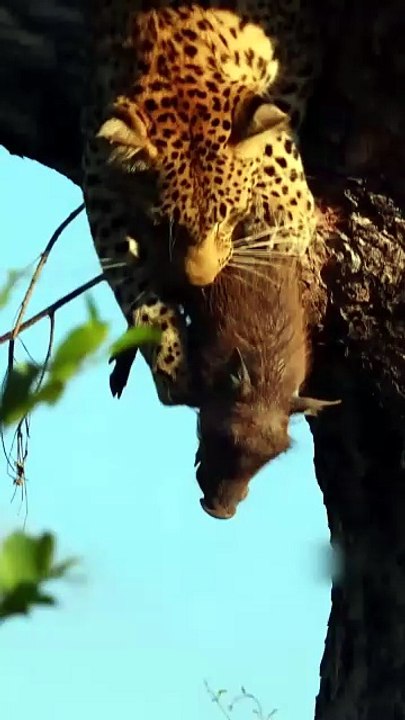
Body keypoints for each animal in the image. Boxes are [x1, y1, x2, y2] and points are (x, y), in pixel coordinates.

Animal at [82, 0, 320, 403]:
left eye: (228, 218)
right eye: (161, 225)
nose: (200, 281)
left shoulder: (297, 50)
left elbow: (274, 121)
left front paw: (284, 208)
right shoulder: (97, 169)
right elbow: (125, 273)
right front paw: (168, 354)